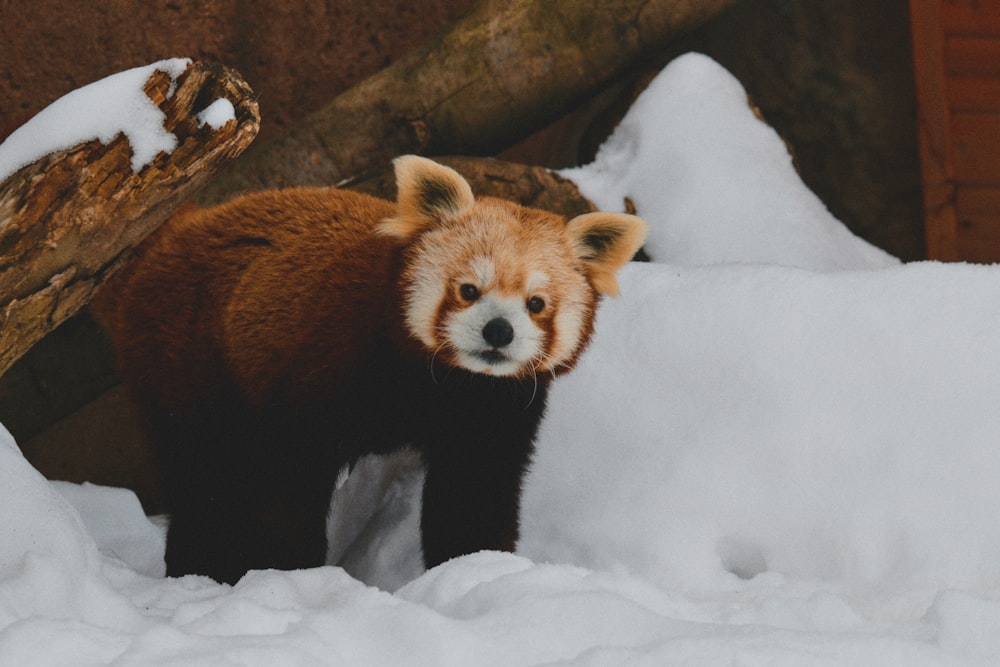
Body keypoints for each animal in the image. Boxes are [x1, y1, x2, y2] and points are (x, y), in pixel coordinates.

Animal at [95, 157, 648, 584]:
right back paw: (199, 569)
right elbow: (287, 475)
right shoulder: (329, 359)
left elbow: (474, 490)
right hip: (189, 358)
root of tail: (175, 233)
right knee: (205, 475)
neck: (441, 381)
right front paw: (288, 569)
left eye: (536, 304)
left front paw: (475, 568)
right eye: (468, 290)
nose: (498, 331)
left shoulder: (494, 406)